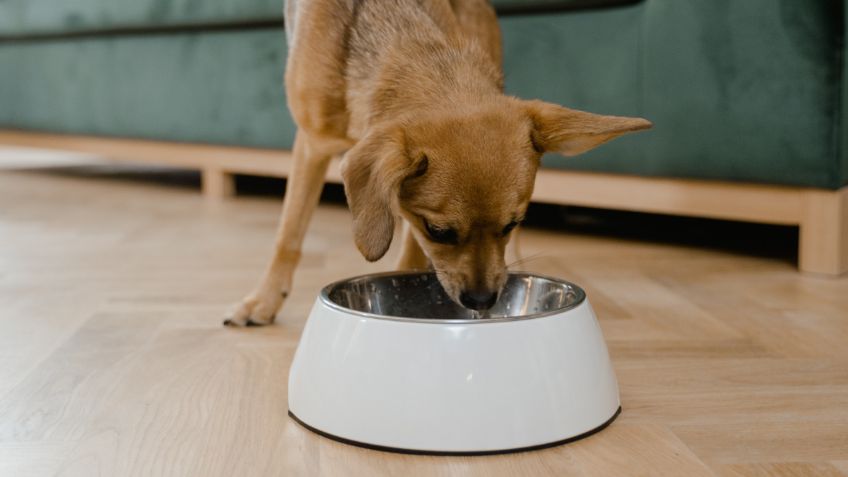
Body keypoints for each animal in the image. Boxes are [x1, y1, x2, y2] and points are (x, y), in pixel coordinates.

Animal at [224, 0, 648, 326]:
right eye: (439, 231)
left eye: (511, 224)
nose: (482, 301)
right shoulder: (311, 144)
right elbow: (288, 234)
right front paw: (263, 300)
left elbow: (408, 253)